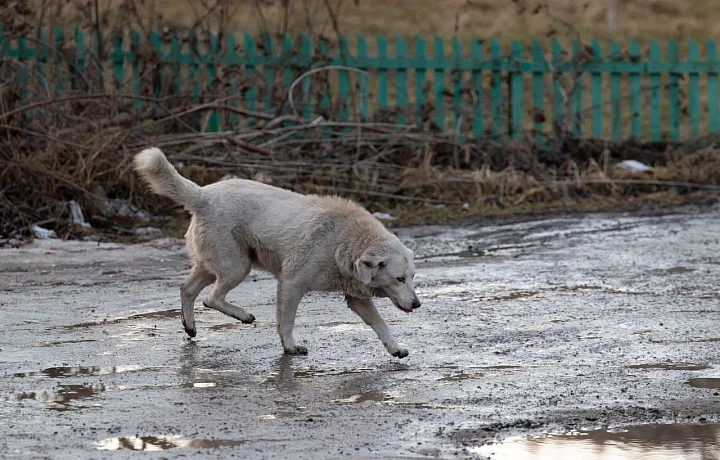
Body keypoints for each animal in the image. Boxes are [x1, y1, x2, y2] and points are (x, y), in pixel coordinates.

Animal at [134, 149, 422, 358]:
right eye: (399, 279)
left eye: (412, 277)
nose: (418, 304)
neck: (344, 241)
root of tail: (203, 194)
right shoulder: (291, 284)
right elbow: (287, 322)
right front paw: (290, 347)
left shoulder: (357, 299)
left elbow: (381, 324)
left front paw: (396, 348)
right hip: (237, 267)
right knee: (211, 298)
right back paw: (243, 315)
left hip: (214, 265)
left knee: (187, 289)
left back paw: (191, 326)